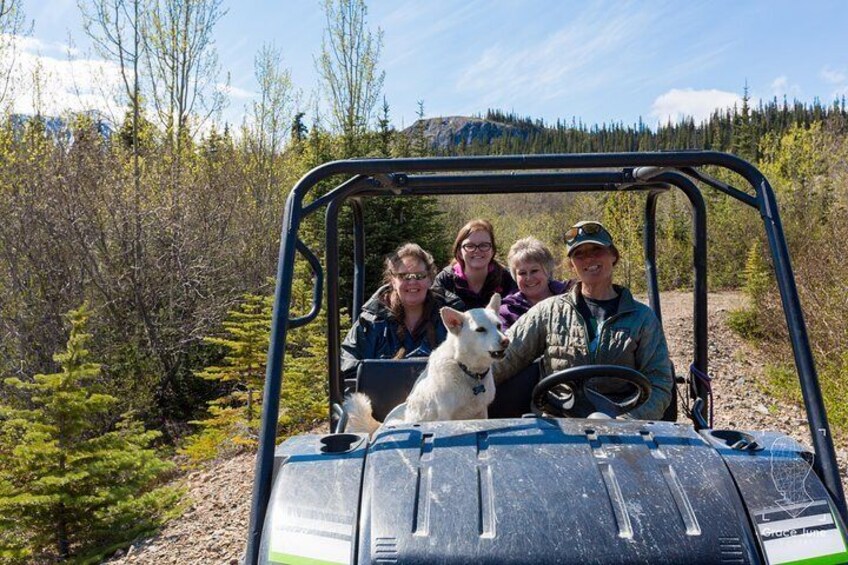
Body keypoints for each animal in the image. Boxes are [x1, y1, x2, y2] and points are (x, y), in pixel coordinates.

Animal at [342, 294, 506, 434]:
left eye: (498, 326)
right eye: (480, 330)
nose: (506, 341)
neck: (467, 371)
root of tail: (380, 426)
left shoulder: (482, 413)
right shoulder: (446, 417)